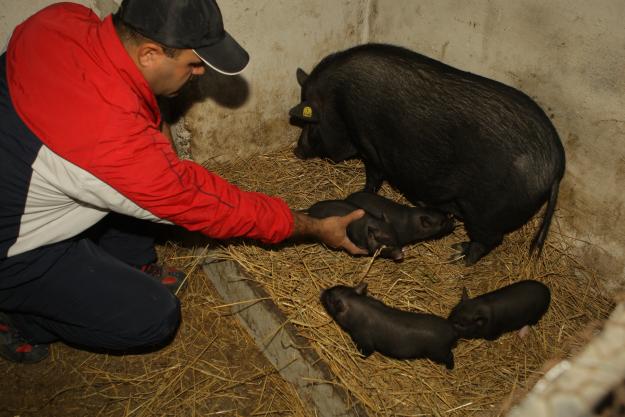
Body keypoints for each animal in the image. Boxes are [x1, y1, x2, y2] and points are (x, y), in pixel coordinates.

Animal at [290, 43, 564, 264]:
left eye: (311, 122)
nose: (297, 150)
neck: (337, 102)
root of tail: (557, 166)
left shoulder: (368, 144)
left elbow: (373, 176)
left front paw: (363, 191)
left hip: (487, 214)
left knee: (490, 239)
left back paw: (458, 256)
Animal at [320, 282, 456, 368]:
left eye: (329, 298)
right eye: (336, 286)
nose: (322, 291)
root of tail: (452, 330)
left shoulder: (365, 339)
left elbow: (366, 351)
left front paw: (358, 355)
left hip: (438, 351)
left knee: (450, 356)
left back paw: (449, 368)